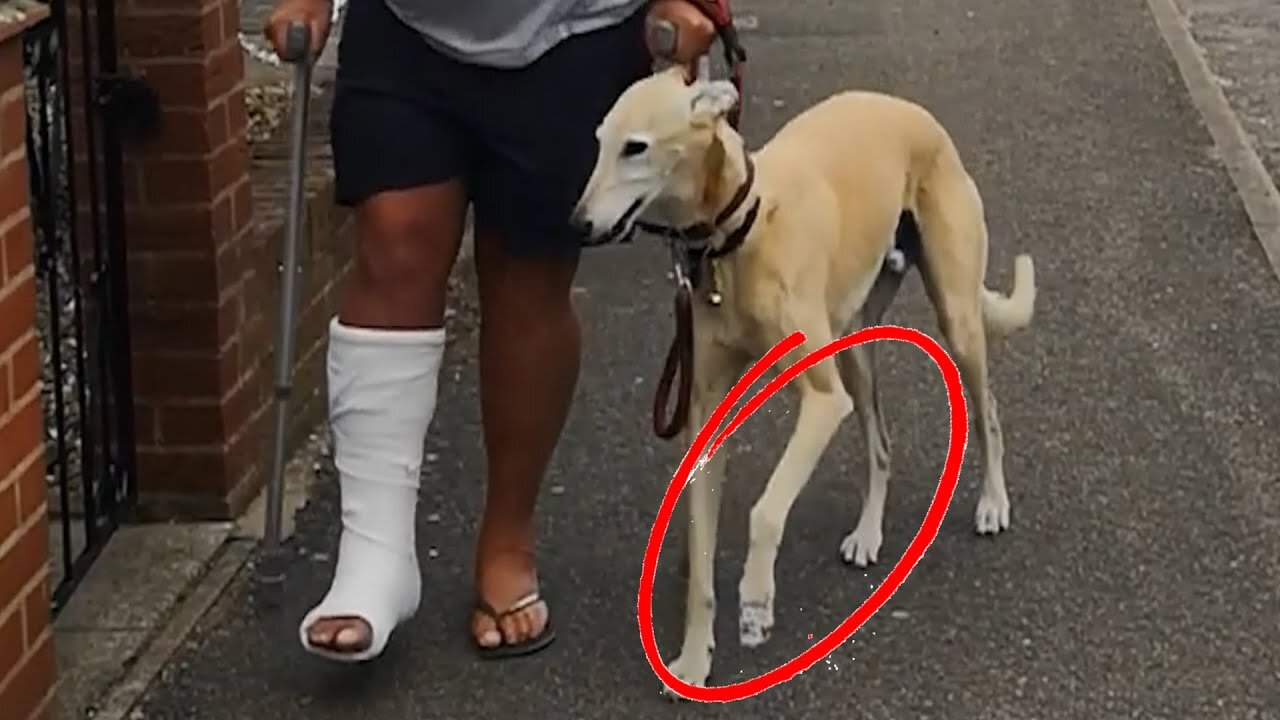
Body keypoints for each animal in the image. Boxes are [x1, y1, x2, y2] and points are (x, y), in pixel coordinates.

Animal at [576, 67, 1034, 696]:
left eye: (635, 147)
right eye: (598, 142)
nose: (577, 223)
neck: (738, 236)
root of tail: (912, 112)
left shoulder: (821, 401)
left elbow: (766, 511)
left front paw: (755, 602)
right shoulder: (708, 418)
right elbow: (700, 555)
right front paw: (693, 660)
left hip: (956, 321)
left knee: (986, 411)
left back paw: (992, 502)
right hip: (855, 348)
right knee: (881, 445)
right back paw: (868, 534)